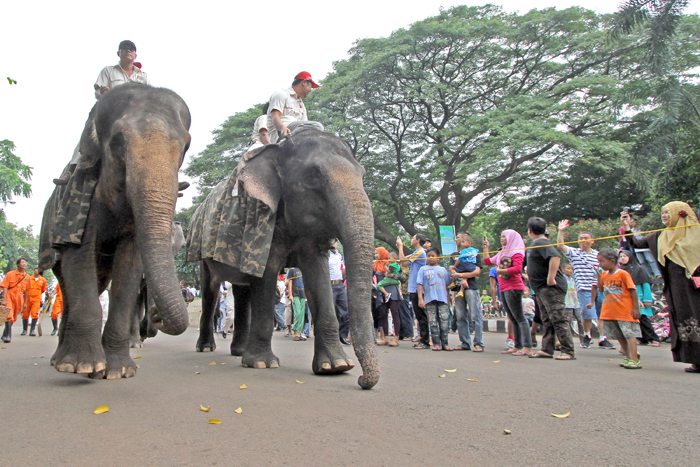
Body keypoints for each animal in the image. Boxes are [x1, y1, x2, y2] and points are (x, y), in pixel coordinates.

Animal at [41, 83, 194, 380]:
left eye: (186, 146)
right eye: (117, 142)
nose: (156, 317)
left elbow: (129, 268)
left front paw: (118, 371)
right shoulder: (80, 203)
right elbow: (79, 255)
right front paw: (85, 366)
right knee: (67, 286)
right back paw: (60, 361)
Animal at [186, 126, 380, 390]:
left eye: (362, 174)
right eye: (313, 176)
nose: (362, 380)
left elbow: (318, 278)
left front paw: (336, 367)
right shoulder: (264, 223)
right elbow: (267, 275)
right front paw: (262, 363)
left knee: (241, 291)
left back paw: (239, 352)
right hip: (202, 252)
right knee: (210, 290)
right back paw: (207, 348)